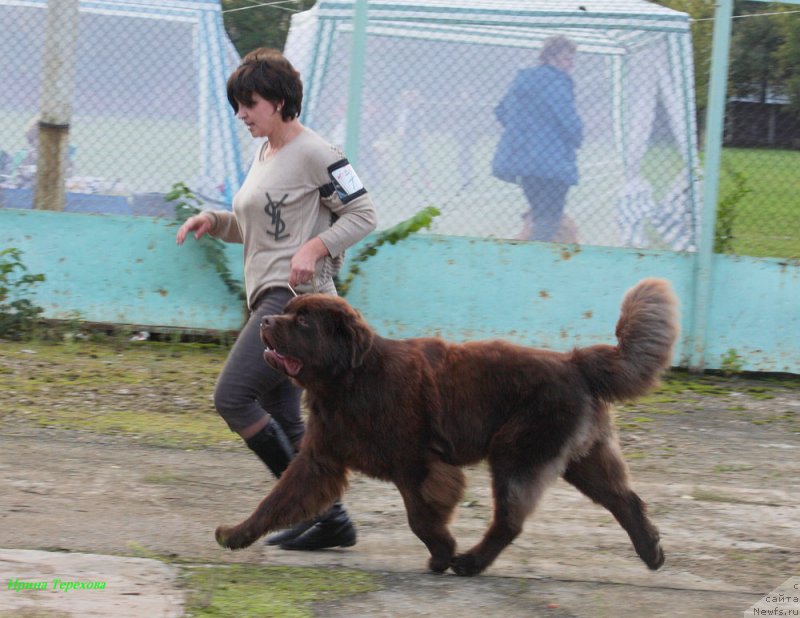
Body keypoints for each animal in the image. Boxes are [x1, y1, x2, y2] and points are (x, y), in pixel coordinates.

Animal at [216, 276, 680, 576]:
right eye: (286, 312)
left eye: (303, 322)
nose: (264, 322)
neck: (350, 379)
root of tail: (575, 361)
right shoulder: (319, 459)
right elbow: (275, 500)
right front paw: (236, 534)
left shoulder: (417, 464)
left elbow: (419, 518)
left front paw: (442, 553)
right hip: (581, 458)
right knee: (625, 500)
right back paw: (652, 551)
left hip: (517, 454)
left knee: (510, 521)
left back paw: (470, 563)